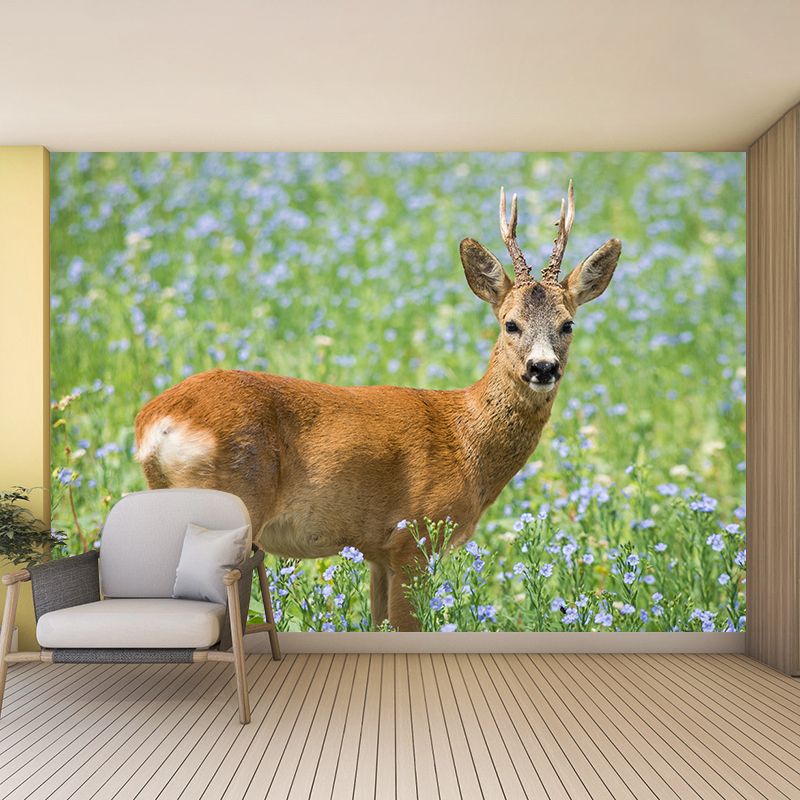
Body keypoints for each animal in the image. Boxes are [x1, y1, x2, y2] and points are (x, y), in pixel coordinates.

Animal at [134, 182, 621, 630]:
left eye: (568, 324)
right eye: (511, 324)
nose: (543, 367)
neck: (465, 441)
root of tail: (157, 423)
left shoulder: (376, 551)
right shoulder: (414, 537)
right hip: (232, 500)